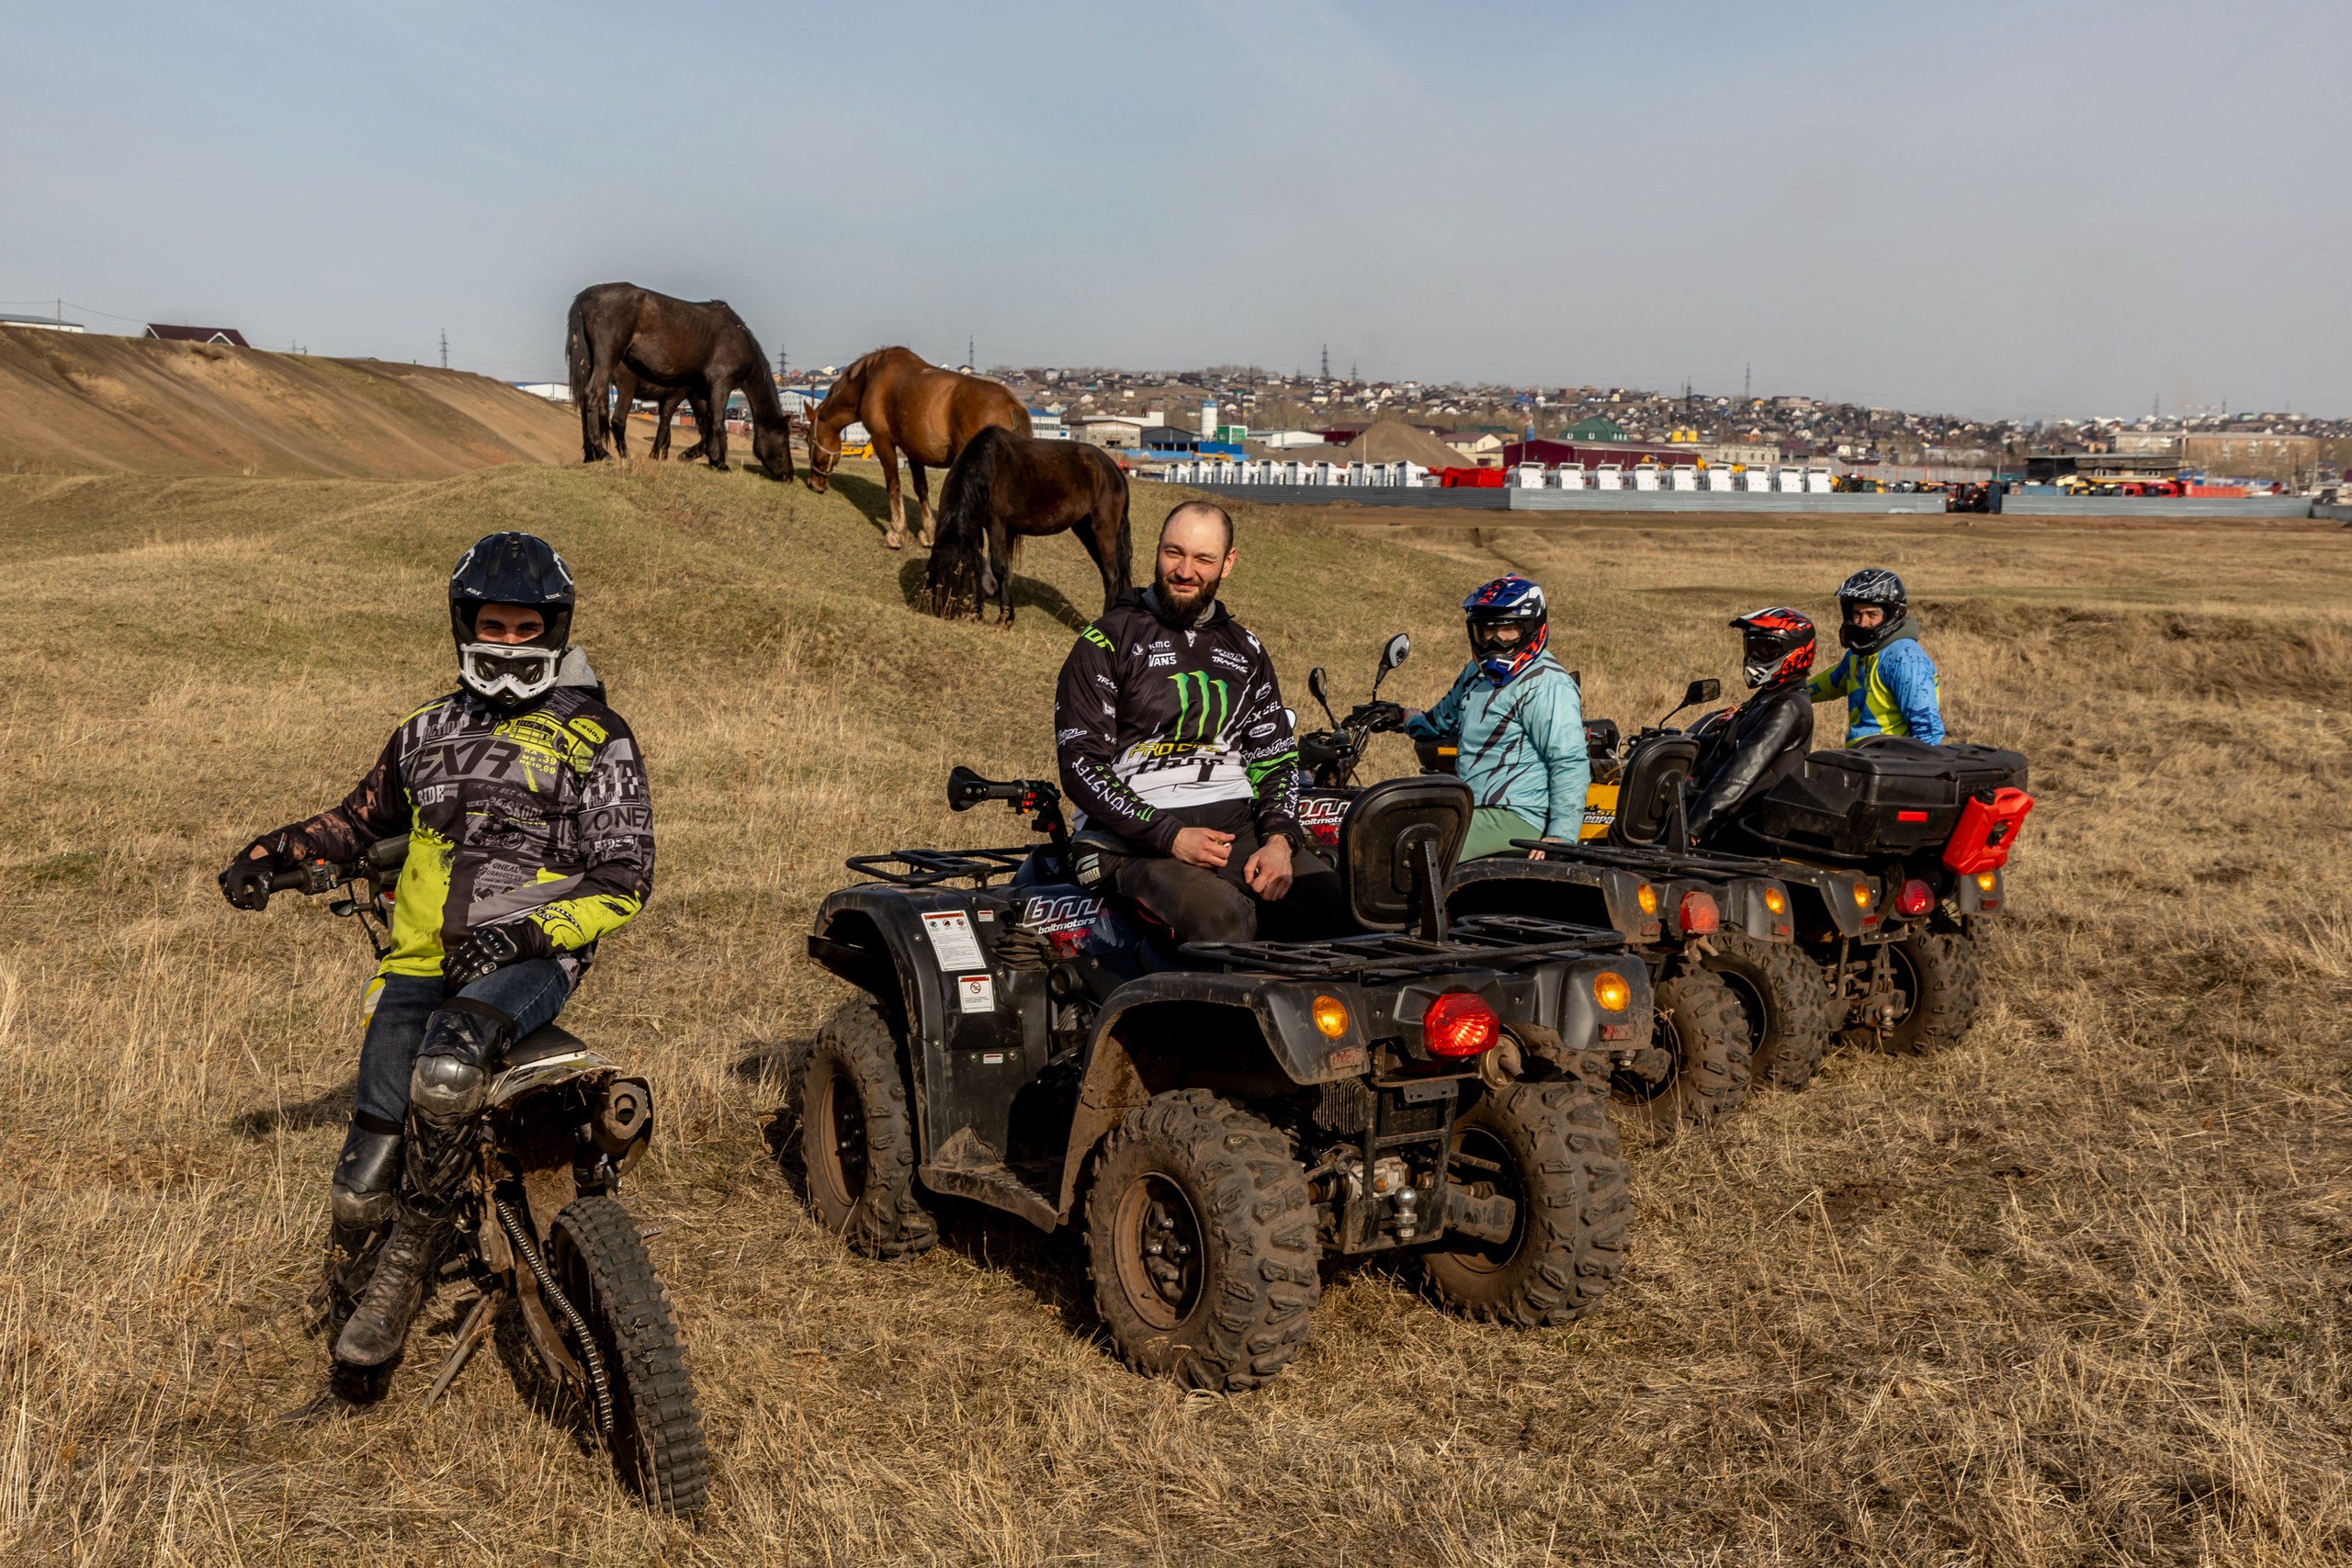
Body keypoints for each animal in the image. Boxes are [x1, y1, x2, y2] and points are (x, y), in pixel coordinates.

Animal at [564, 282, 795, 479]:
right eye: (784, 440)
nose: (789, 475)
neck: (737, 339)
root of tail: (591, 294)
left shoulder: (700, 392)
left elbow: (705, 426)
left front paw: (690, 455)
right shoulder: (720, 384)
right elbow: (716, 423)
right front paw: (719, 462)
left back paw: (591, 455)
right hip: (609, 361)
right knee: (594, 396)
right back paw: (603, 452)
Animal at [808, 350, 1030, 552]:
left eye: (809, 437)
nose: (814, 484)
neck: (869, 380)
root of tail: (1011, 404)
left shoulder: (882, 440)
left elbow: (893, 485)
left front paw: (896, 534)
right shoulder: (914, 450)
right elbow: (921, 488)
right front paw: (929, 533)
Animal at [926, 430, 1128, 629]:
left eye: (956, 571)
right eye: (935, 568)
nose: (942, 611)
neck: (988, 467)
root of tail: (1113, 469)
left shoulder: (997, 522)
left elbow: (999, 567)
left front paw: (1004, 619)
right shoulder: (976, 527)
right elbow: (976, 566)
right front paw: (975, 612)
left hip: (1103, 530)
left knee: (1111, 576)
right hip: (1086, 530)